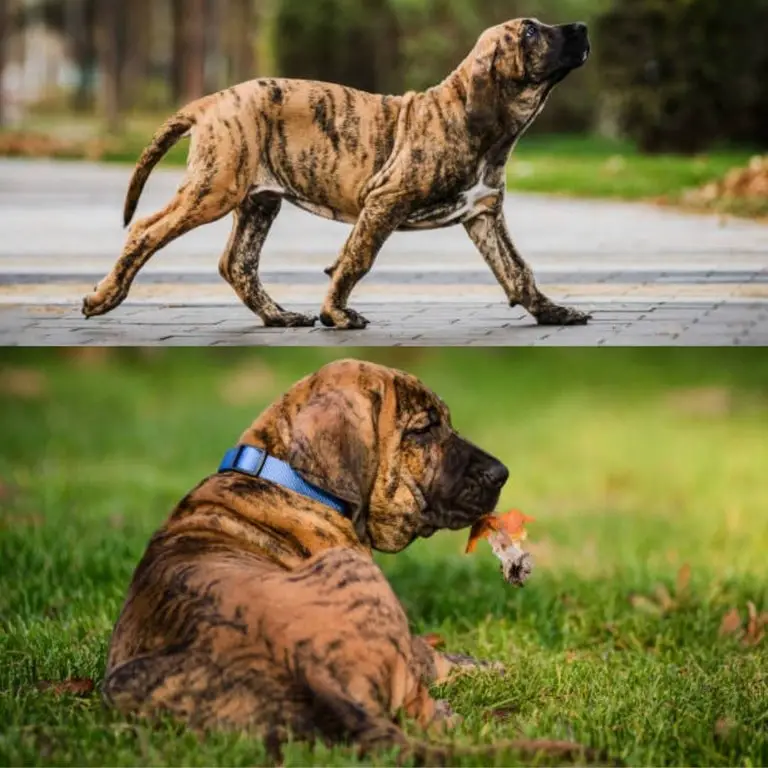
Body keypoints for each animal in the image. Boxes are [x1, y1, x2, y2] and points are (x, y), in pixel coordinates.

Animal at [81, 18, 592, 330]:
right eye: (530, 31)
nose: (582, 27)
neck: (486, 125)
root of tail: (213, 100)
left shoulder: (484, 213)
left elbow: (517, 269)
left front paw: (551, 311)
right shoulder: (385, 201)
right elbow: (356, 259)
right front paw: (337, 315)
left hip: (258, 200)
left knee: (237, 263)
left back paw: (279, 317)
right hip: (215, 189)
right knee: (146, 230)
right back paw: (105, 297)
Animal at [103, 358, 588, 760]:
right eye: (423, 430)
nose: (501, 473)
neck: (287, 476)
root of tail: (313, 671)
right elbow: (435, 655)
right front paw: (492, 667)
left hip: (124, 683)